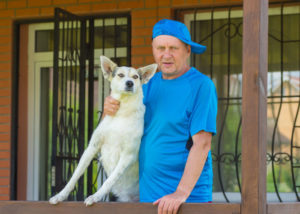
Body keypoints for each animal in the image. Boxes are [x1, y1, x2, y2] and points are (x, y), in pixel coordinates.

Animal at [49, 55, 157, 206]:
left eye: (135, 77)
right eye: (120, 75)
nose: (130, 83)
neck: (122, 112)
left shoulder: (128, 155)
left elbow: (109, 181)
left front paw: (95, 196)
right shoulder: (92, 147)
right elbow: (75, 176)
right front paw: (60, 195)